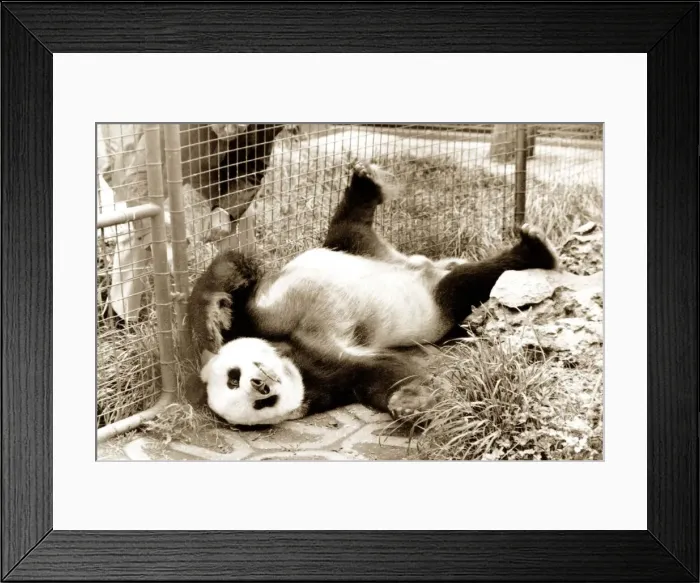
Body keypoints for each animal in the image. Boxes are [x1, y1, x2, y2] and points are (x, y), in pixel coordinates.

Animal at [187, 161, 560, 426]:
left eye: (233, 378)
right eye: (258, 403)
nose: (260, 385)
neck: (292, 356)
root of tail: (405, 262)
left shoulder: (257, 315)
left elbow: (232, 270)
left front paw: (211, 322)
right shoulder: (330, 376)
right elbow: (385, 372)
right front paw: (409, 403)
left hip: (348, 249)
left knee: (347, 226)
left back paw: (365, 181)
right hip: (436, 303)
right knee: (463, 285)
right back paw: (534, 253)